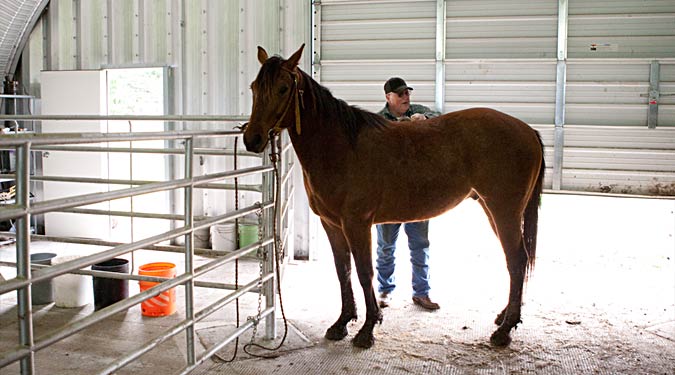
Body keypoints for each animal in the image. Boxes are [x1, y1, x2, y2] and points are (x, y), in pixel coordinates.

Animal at [243, 44, 544, 350]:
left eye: (283, 88)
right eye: (254, 87)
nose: (252, 139)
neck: (341, 148)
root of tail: (528, 131)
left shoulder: (357, 224)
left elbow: (365, 272)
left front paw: (367, 329)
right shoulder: (332, 224)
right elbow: (343, 271)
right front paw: (341, 323)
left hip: (504, 211)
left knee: (516, 260)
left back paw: (505, 330)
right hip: (493, 209)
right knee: (515, 260)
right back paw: (504, 317)